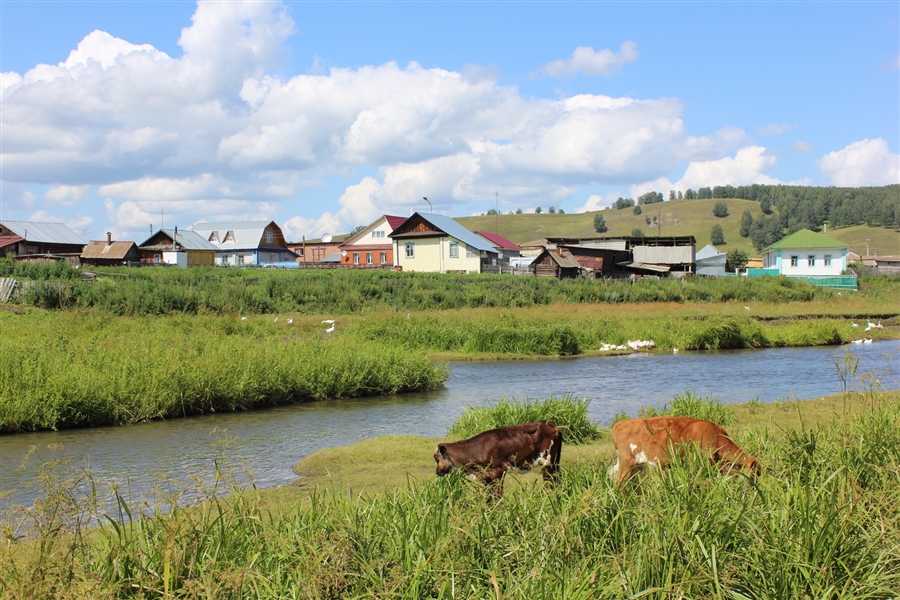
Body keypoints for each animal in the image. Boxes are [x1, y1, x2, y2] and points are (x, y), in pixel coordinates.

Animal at [434, 420, 564, 494]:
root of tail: (552, 426)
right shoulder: (487, 477)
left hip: (548, 464)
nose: (437, 472)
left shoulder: (497, 472)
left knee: (550, 484)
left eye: (436, 457)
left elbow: (497, 497)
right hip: (554, 464)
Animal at [604, 418, 760, 488]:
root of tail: (620, 423)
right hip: (627, 464)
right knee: (619, 483)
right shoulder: (696, 463)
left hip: (636, 467)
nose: (756, 489)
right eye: (755, 474)